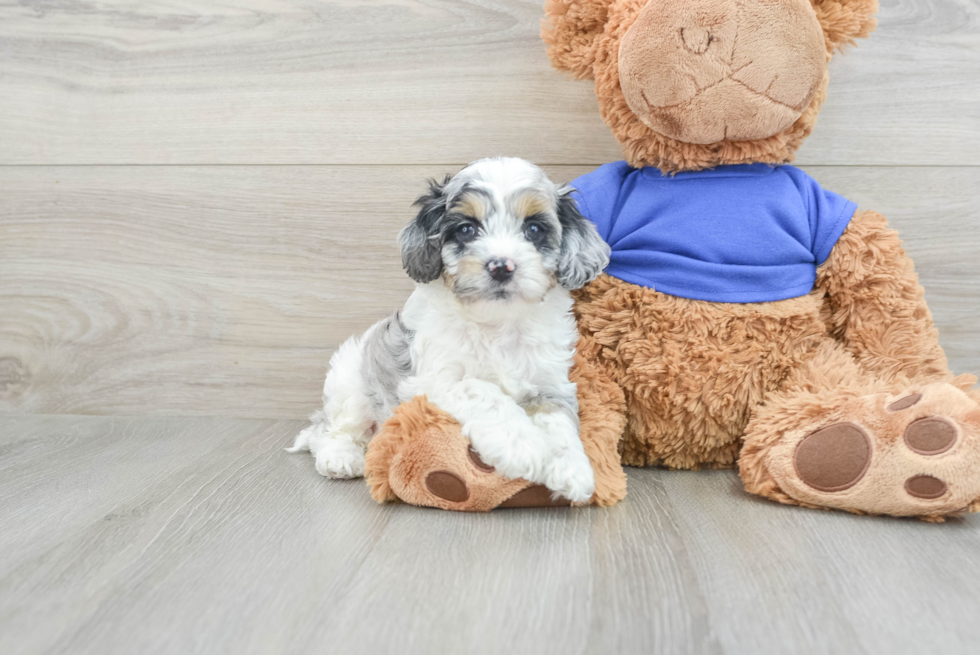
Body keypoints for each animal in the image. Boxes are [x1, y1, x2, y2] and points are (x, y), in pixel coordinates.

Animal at [290, 158, 608, 502]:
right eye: (467, 229)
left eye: (534, 229)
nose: (501, 266)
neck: (497, 322)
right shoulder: (431, 380)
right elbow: (480, 389)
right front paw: (521, 445)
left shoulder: (550, 383)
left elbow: (558, 419)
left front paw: (571, 468)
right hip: (348, 381)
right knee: (329, 430)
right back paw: (340, 457)